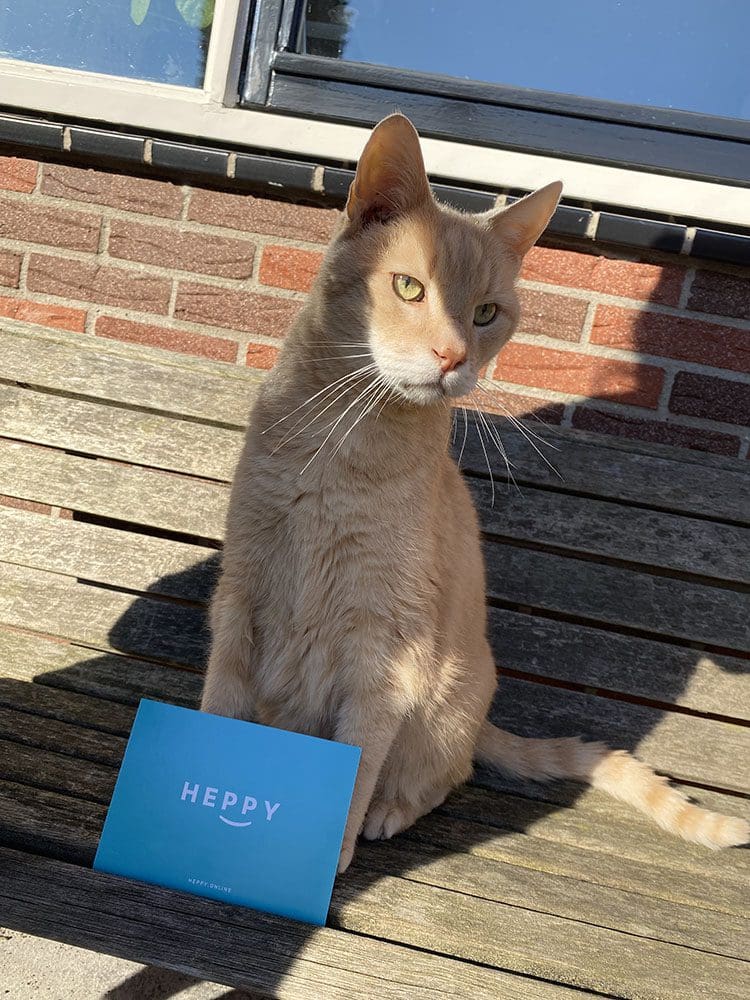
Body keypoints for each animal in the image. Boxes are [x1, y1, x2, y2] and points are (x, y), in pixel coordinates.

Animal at [200, 113, 748, 871]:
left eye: (487, 313)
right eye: (408, 289)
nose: (454, 356)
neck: (340, 449)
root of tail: (482, 715)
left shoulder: (385, 649)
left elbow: (358, 760)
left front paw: (326, 853)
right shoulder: (242, 596)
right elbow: (216, 710)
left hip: (448, 699)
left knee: (443, 774)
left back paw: (392, 811)